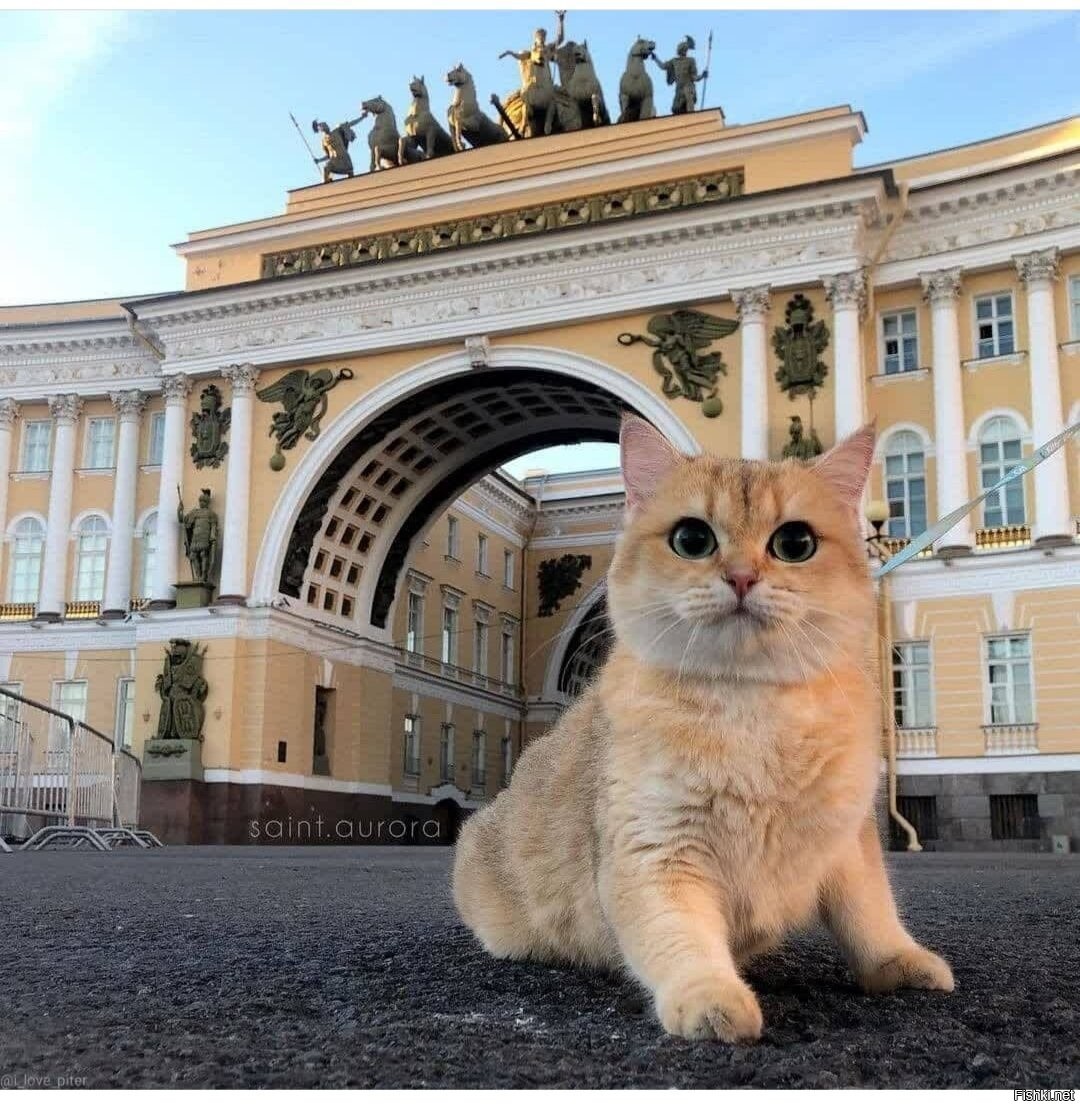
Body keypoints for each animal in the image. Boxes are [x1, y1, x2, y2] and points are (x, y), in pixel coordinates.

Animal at [453, 418, 951, 1040]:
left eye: (795, 544)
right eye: (692, 539)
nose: (741, 577)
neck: (752, 707)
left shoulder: (849, 843)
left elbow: (870, 915)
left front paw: (897, 962)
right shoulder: (657, 852)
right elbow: (681, 938)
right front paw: (710, 997)